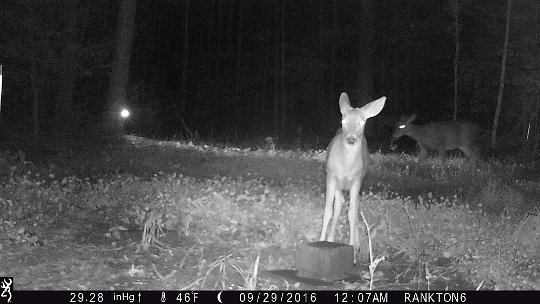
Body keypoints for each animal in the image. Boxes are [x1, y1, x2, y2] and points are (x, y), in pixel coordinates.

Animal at [318, 91, 386, 253]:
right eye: (343, 121)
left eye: (361, 122)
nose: (350, 139)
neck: (346, 167)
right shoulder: (331, 176)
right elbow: (328, 210)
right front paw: (322, 240)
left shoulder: (357, 179)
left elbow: (352, 213)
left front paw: (352, 245)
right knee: (339, 204)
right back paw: (331, 238)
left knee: (353, 207)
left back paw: (356, 241)